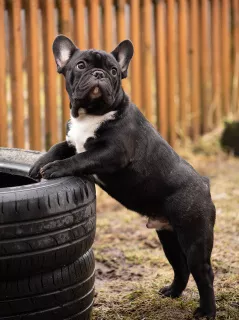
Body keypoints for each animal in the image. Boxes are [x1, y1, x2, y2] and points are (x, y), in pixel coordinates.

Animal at [29, 33, 217, 318]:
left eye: (114, 71)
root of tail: (204, 185)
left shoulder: (113, 152)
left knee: (203, 272)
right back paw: (172, 292)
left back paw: (206, 311)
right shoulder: (74, 141)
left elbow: (81, 158)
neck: (90, 114)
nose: (99, 74)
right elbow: (59, 147)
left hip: (193, 235)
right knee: (181, 266)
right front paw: (38, 164)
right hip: (169, 238)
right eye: (81, 65)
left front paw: (55, 168)